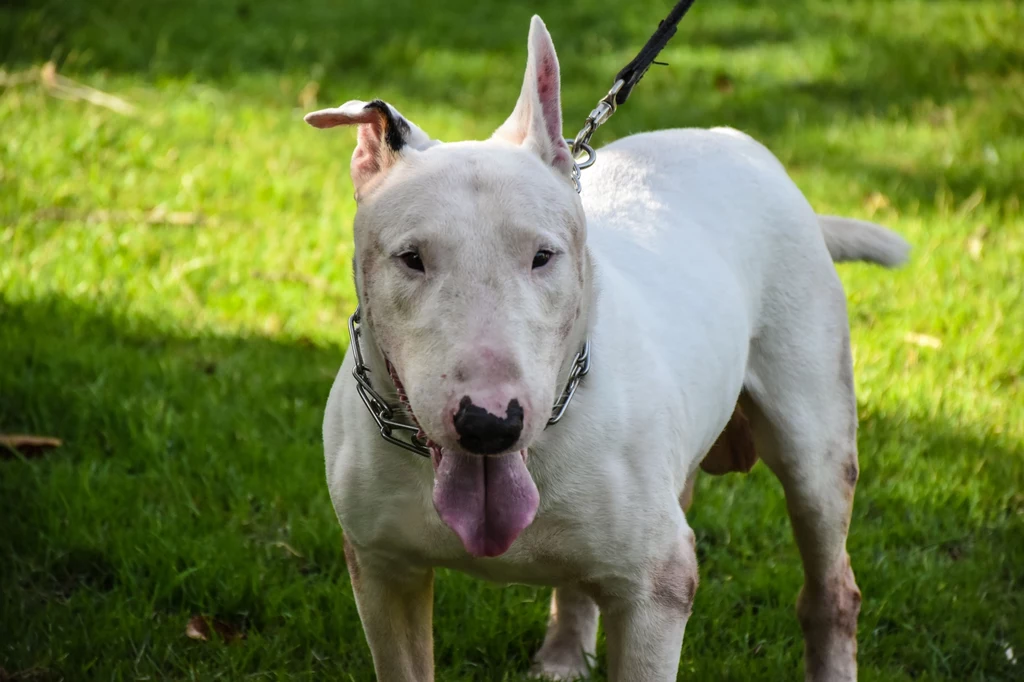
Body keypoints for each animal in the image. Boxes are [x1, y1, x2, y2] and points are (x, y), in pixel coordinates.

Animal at [307, 15, 909, 679]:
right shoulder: (384, 571)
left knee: (831, 580)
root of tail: (738, 144)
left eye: (543, 256)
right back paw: (565, 653)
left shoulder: (657, 589)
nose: (489, 425)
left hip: (814, 437)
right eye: (412, 258)